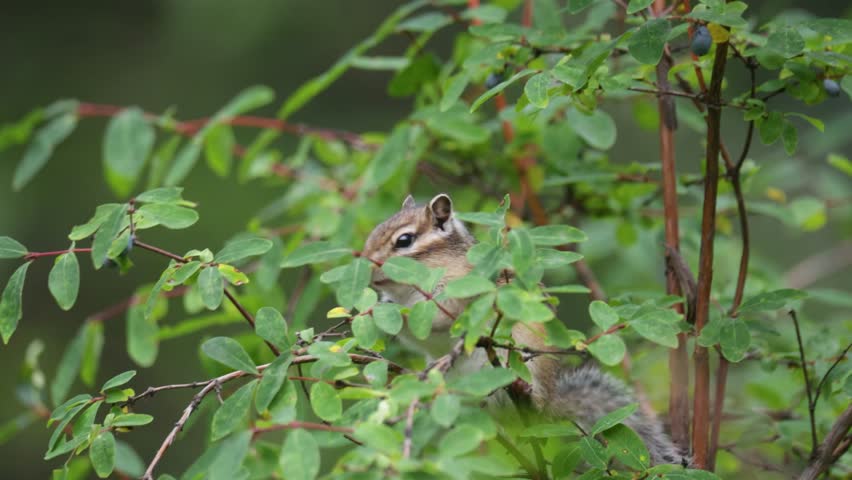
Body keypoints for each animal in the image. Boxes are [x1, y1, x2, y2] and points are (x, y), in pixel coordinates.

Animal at [362, 193, 687, 466]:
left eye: (404, 240)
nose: (366, 269)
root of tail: (547, 403)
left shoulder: (462, 292)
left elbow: (443, 318)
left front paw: (395, 312)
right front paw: (380, 306)